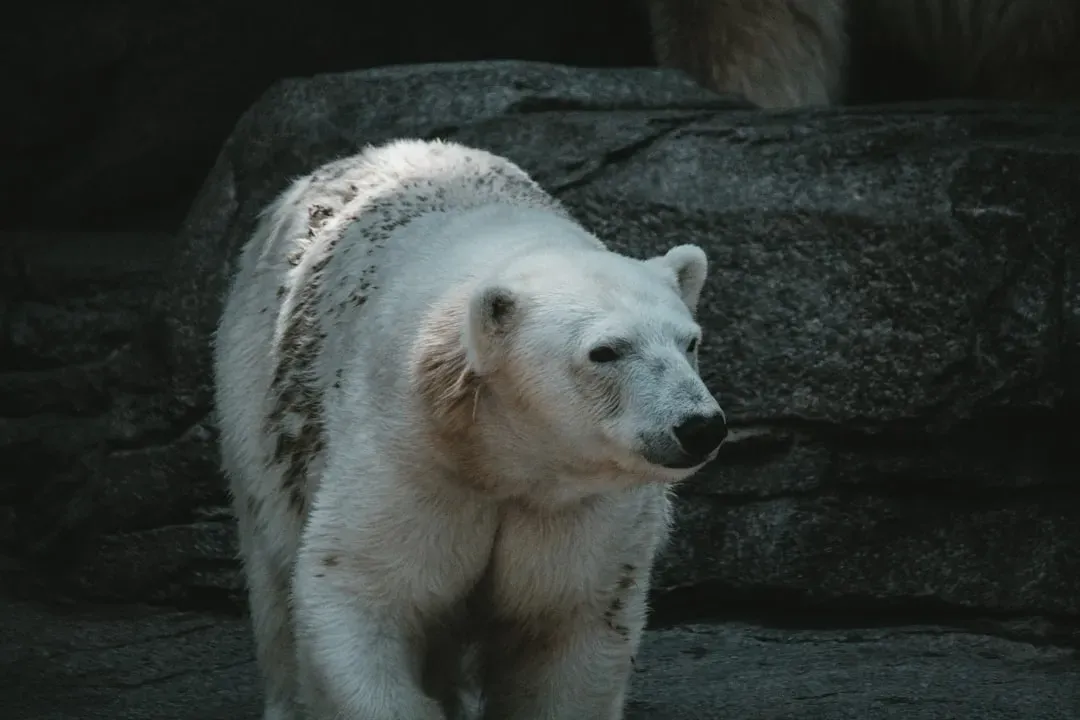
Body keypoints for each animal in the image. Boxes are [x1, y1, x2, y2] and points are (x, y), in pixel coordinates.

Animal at [212, 138, 728, 720]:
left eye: (690, 341)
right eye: (605, 351)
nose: (700, 426)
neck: (501, 451)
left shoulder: (577, 506)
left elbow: (568, 621)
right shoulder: (411, 457)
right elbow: (362, 589)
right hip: (250, 387)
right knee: (270, 564)